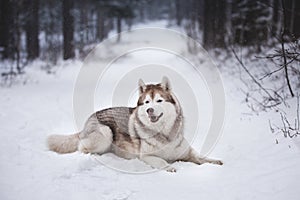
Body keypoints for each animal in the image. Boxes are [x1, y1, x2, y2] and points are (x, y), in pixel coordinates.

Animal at [48, 76, 223, 172]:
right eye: (146, 102)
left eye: (159, 100)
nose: (149, 110)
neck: (164, 135)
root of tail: (89, 119)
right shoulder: (146, 157)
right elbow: (162, 161)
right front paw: (169, 167)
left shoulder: (187, 153)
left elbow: (201, 157)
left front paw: (214, 161)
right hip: (106, 133)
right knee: (82, 148)